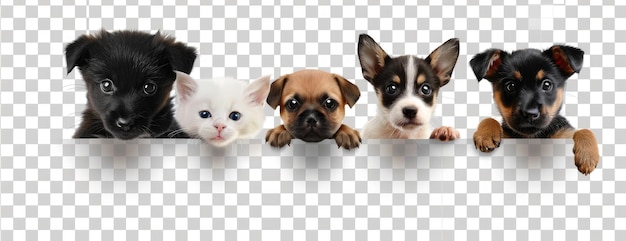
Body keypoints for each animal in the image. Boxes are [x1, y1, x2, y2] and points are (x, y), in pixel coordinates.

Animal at [470, 44, 596, 174]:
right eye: (510, 86)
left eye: (547, 84)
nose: (530, 114)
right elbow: (489, 119)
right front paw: (485, 135)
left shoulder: (564, 134)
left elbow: (583, 131)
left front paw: (587, 157)